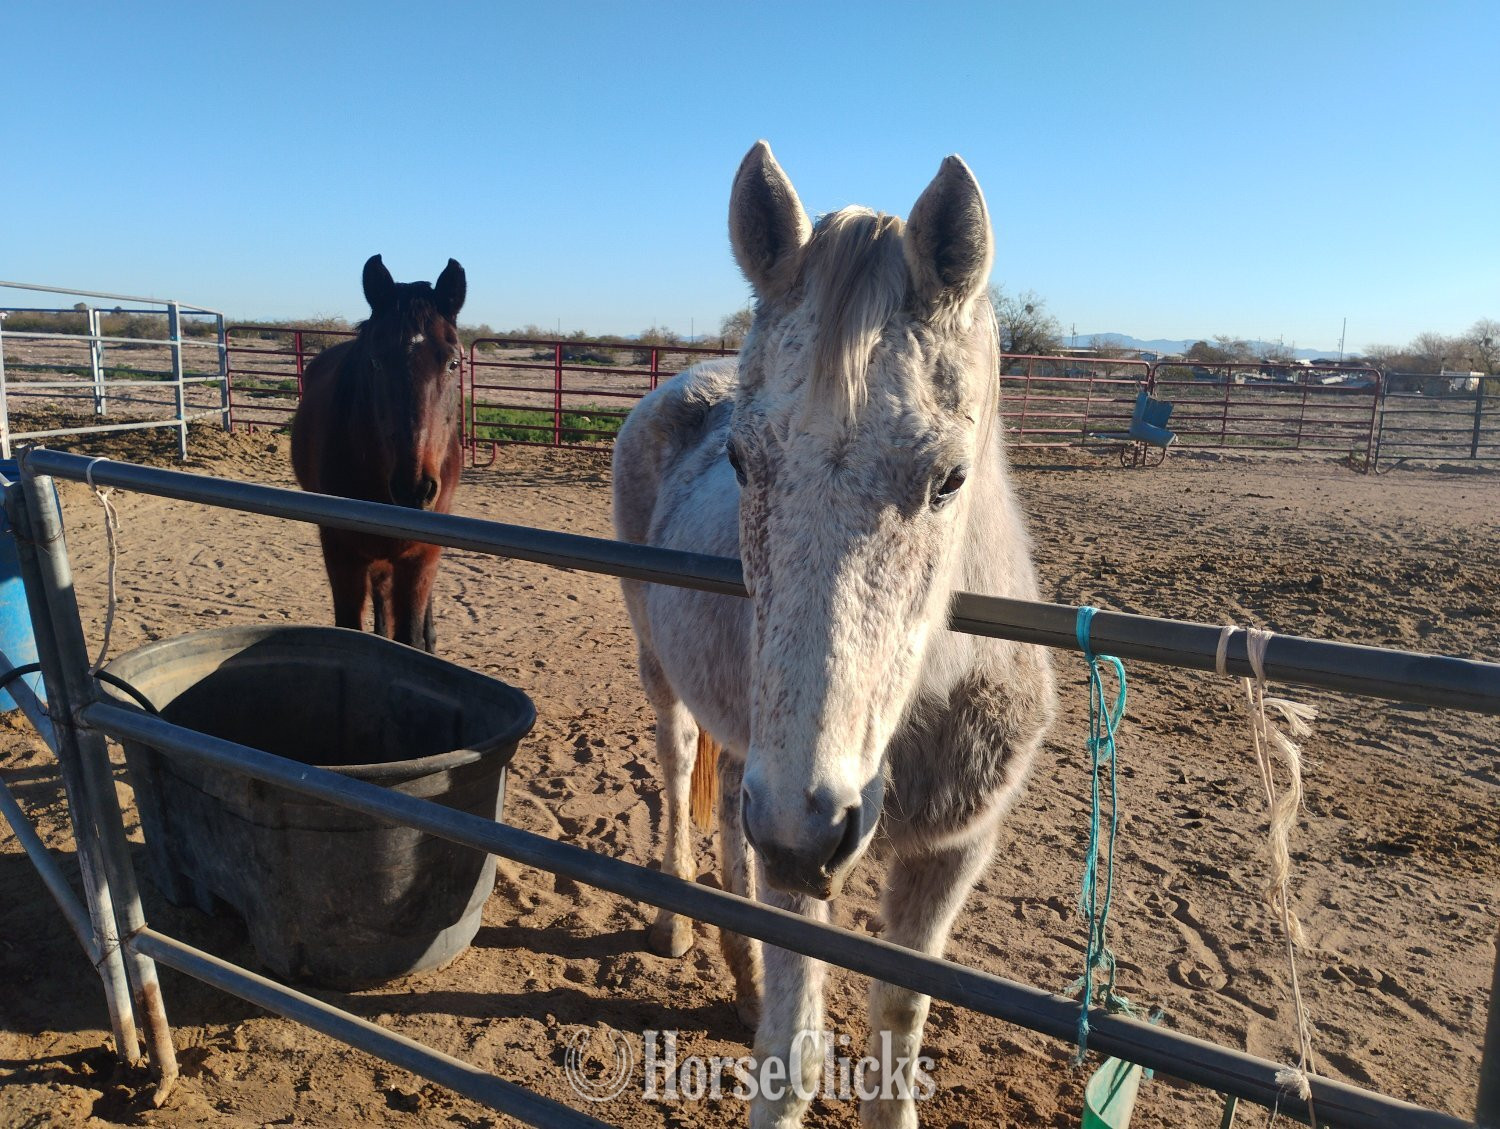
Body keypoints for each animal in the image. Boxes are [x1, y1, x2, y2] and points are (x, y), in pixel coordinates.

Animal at [290, 254, 466, 653]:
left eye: (453, 363)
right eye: (375, 362)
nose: (414, 488)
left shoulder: (421, 555)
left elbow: (411, 635)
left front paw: (424, 640)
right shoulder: (341, 552)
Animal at [613, 143, 1057, 1129]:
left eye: (949, 477)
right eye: (742, 461)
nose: (804, 831)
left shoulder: (951, 854)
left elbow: (900, 1025)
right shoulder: (791, 849)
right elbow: (795, 1054)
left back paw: (739, 971)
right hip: (665, 677)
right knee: (682, 774)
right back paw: (674, 921)